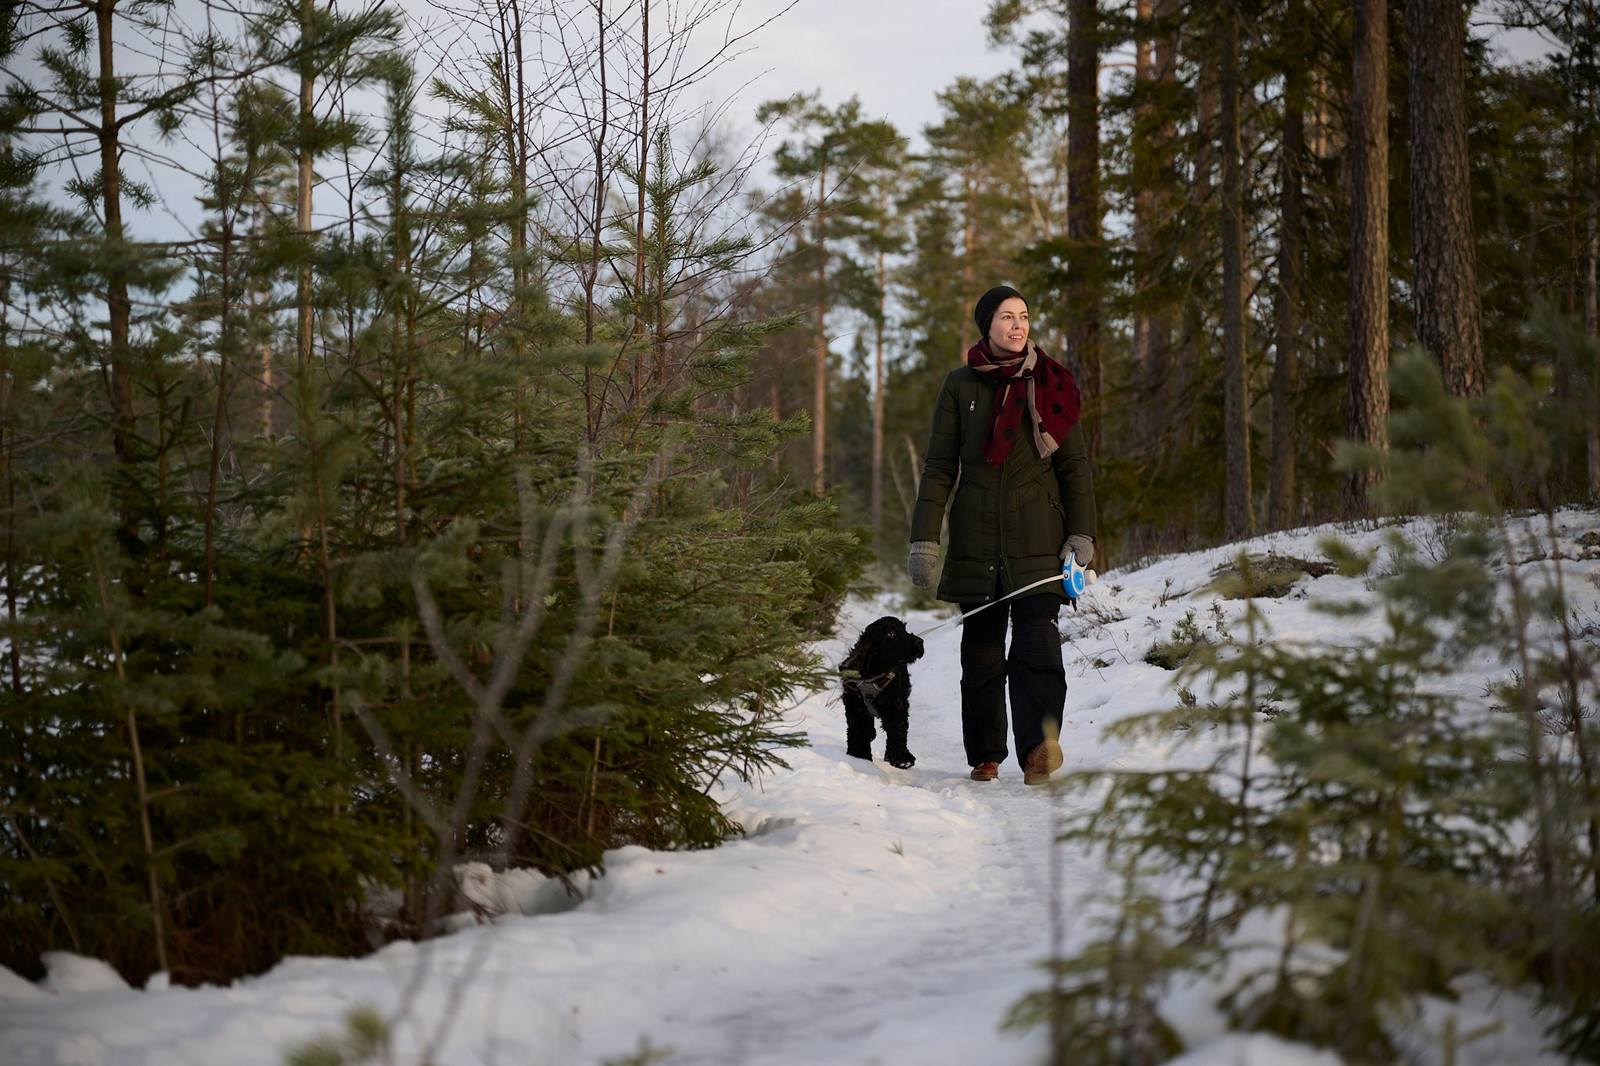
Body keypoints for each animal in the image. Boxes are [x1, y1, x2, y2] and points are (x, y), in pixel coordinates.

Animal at [838, 614, 928, 765]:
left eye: (905, 629)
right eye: (890, 633)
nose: (920, 642)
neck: (876, 675)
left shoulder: (897, 706)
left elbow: (898, 731)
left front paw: (901, 757)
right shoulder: (855, 705)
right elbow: (857, 732)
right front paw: (859, 756)